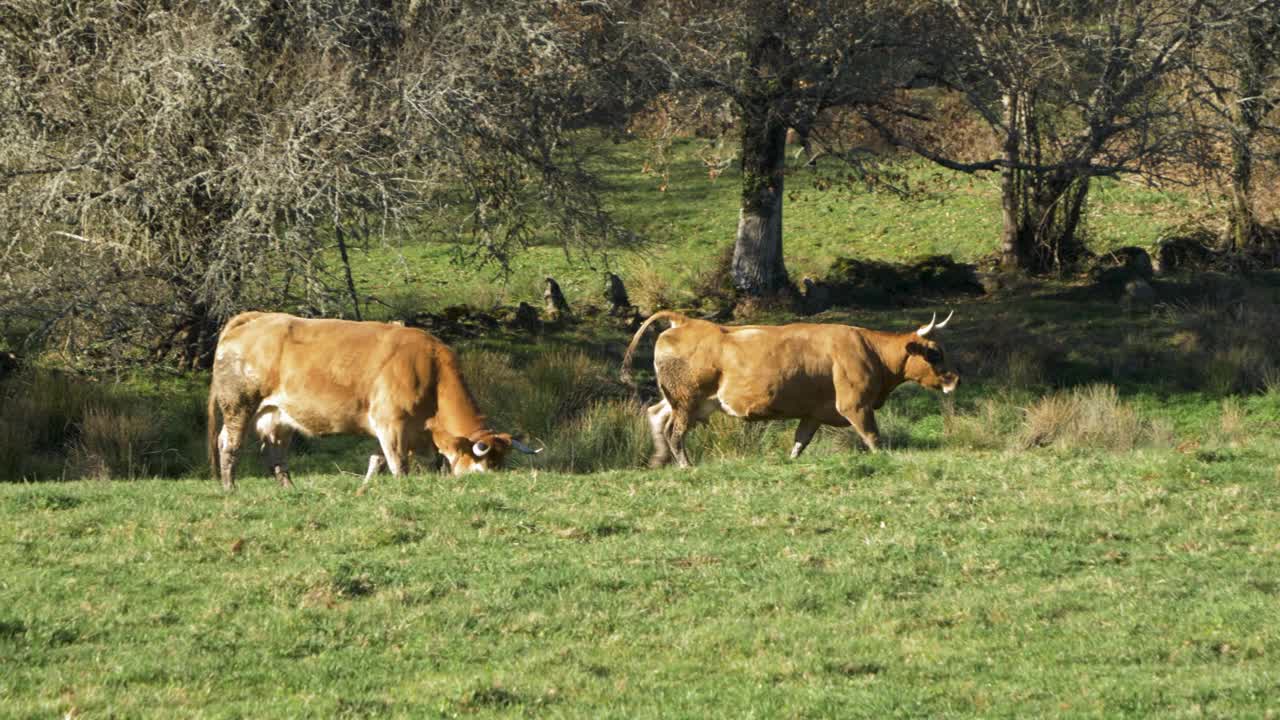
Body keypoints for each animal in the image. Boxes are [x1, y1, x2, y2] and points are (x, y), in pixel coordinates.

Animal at [207, 311, 537, 489]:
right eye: (486, 465)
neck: (430, 370)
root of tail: (258, 318)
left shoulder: (396, 432)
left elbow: (377, 460)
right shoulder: (391, 425)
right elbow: (397, 464)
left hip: (276, 416)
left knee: (275, 452)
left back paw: (289, 488)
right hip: (238, 406)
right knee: (229, 443)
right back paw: (230, 487)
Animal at [619, 308, 962, 466]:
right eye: (935, 352)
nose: (955, 379)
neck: (870, 349)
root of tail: (685, 321)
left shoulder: (813, 414)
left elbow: (800, 442)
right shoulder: (856, 405)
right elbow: (873, 438)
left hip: (677, 400)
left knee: (655, 415)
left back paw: (659, 459)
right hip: (686, 401)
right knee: (675, 433)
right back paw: (685, 464)